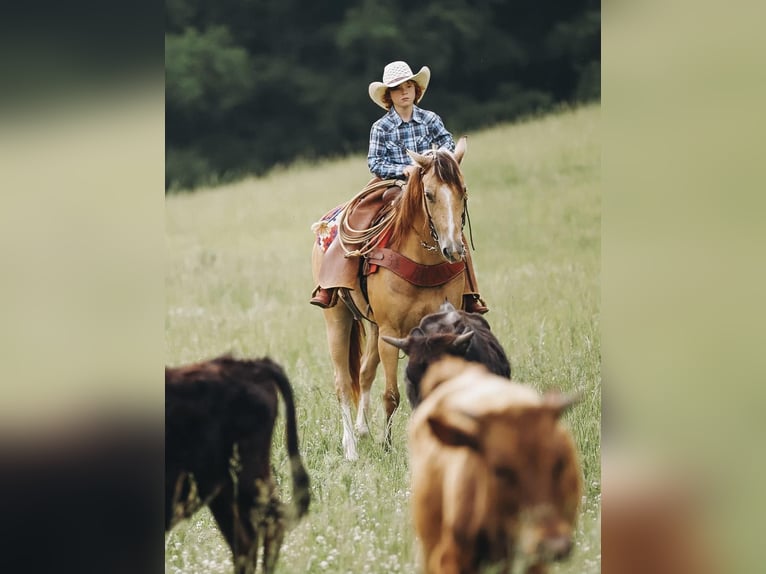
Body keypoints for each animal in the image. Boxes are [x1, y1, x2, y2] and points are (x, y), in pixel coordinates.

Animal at [310, 137, 468, 462]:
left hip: (372, 327)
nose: (453, 248)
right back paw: (350, 448)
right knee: (342, 383)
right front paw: (387, 445)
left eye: (462, 190)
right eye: (429, 194)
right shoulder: (391, 332)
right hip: (337, 320)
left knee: (364, 372)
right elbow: (392, 394)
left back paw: (361, 430)